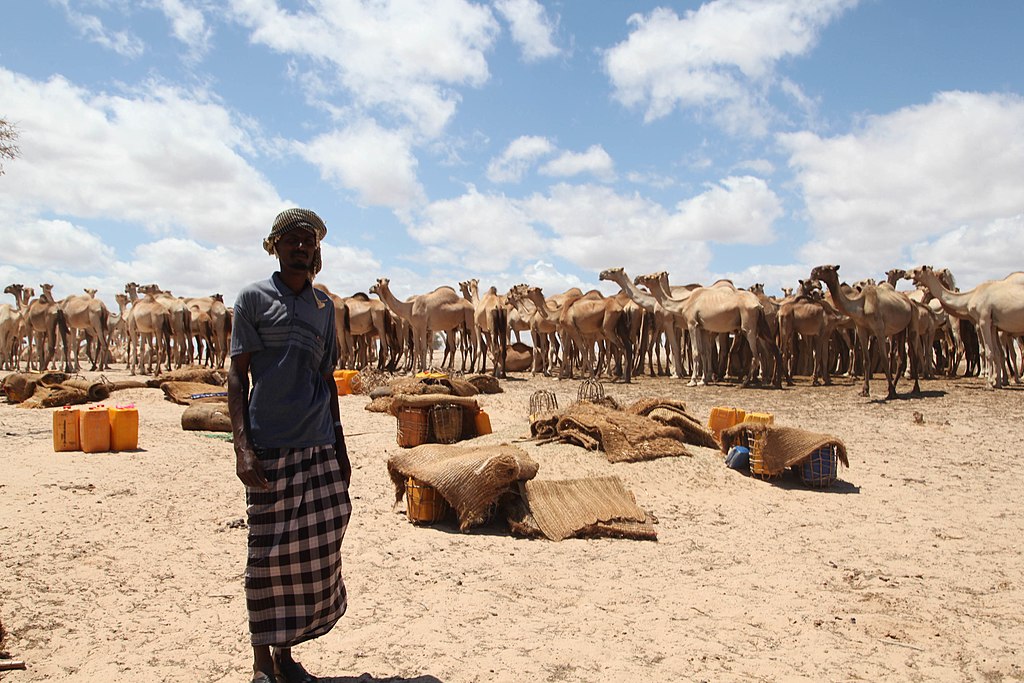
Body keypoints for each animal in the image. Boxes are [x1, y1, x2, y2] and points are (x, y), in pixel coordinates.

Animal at [811, 264, 921, 398]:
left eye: (826, 268)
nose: (813, 272)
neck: (861, 305)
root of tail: (910, 302)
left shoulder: (879, 330)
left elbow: (883, 358)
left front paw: (890, 391)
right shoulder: (862, 330)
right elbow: (866, 360)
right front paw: (865, 390)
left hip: (912, 323)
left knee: (914, 355)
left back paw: (914, 388)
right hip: (899, 330)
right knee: (901, 358)